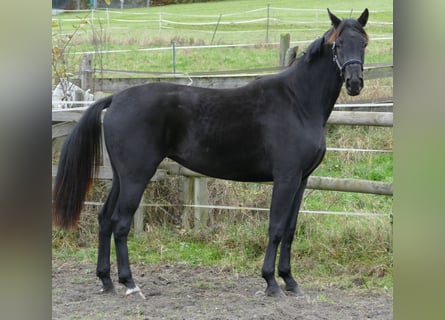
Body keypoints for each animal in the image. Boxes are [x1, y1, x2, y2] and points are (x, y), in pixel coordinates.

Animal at [53, 9, 368, 300]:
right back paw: (130, 283)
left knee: (105, 219)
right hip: (135, 177)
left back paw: (106, 281)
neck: (297, 101)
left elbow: (290, 229)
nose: (354, 83)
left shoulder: (301, 180)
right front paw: (271, 282)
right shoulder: (286, 178)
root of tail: (116, 98)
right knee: (120, 222)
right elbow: (276, 227)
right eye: (338, 45)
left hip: (121, 177)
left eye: (364, 43)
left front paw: (290, 280)